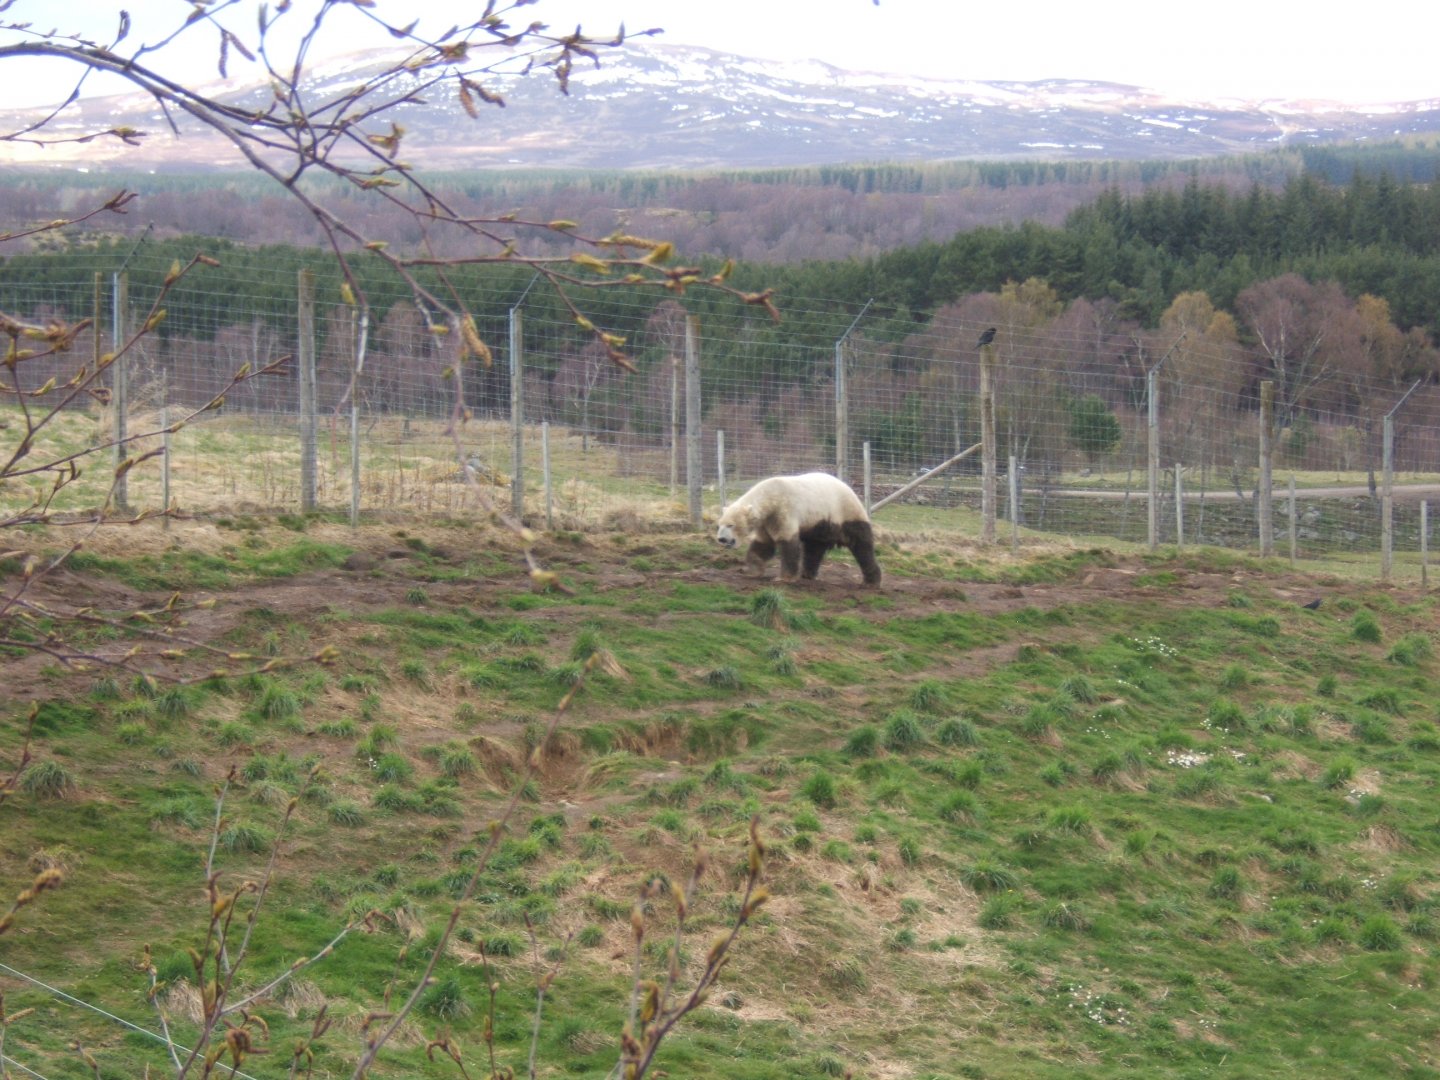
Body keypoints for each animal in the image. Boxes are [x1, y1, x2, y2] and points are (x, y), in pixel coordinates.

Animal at [715, 472, 881, 586]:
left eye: (731, 525)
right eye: (720, 524)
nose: (722, 539)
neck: (770, 496)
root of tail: (850, 488)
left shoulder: (783, 511)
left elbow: (787, 542)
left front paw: (784, 578)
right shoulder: (766, 522)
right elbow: (763, 544)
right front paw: (751, 570)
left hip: (844, 512)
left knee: (861, 545)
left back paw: (871, 581)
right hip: (819, 523)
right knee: (814, 548)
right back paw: (807, 574)